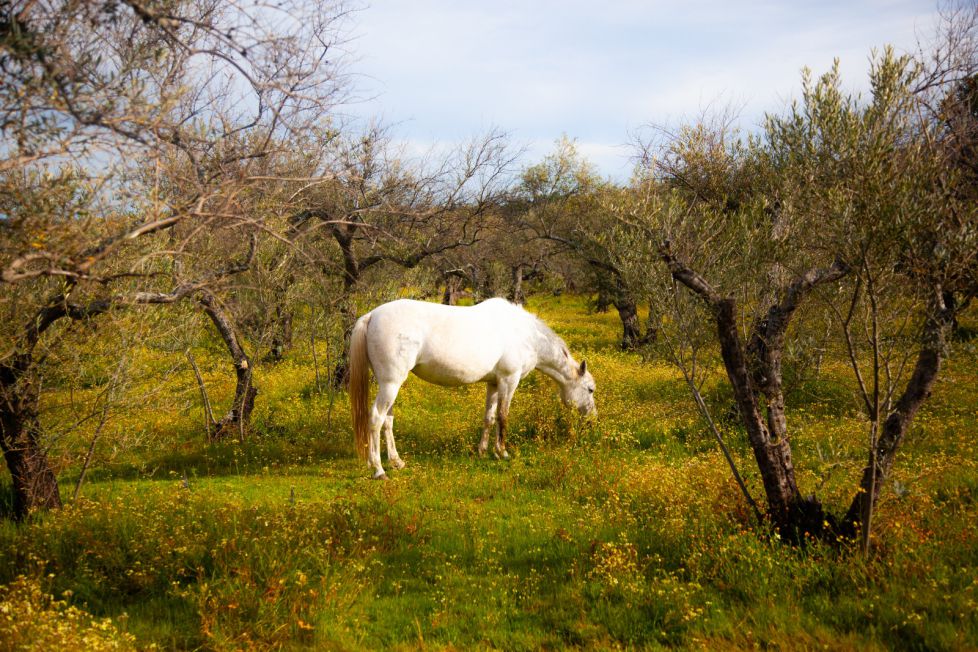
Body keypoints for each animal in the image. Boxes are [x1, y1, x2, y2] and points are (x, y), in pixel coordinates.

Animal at [349, 297, 596, 479]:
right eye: (590, 389)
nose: (592, 419)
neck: (525, 335)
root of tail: (372, 315)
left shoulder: (494, 383)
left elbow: (489, 417)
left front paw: (482, 451)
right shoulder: (509, 380)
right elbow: (503, 417)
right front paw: (502, 452)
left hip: (390, 384)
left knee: (387, 421)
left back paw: (396, 462)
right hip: (390, 384)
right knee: (376, 418)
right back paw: (378, 469)